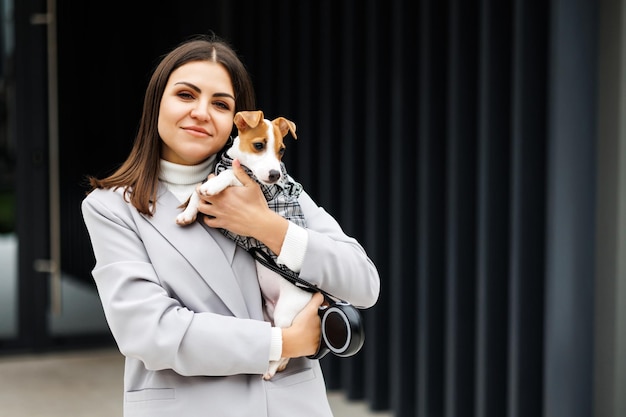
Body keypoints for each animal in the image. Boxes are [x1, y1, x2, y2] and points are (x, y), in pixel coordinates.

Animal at [176, 110, 312, 380]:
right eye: (259, 145)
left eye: (282, 150)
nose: (275, 175)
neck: (236, 163)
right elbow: (197, 191)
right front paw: (187, 214)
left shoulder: (257, 187)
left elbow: (224, 178)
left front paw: (213, 186)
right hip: (269, 313)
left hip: (286, 312)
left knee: (286, 345)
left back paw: (271, 369)